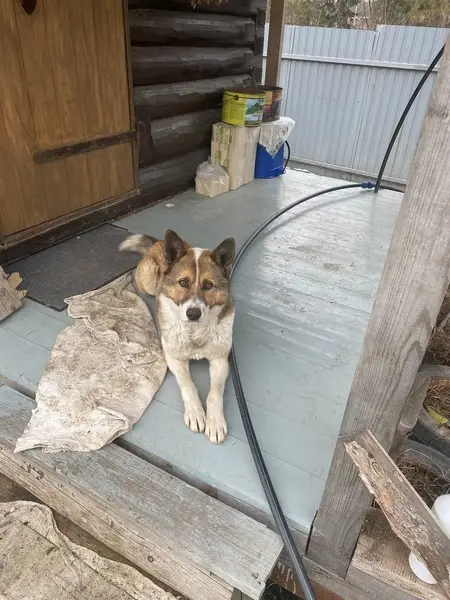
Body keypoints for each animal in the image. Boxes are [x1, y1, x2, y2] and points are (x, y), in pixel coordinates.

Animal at [120, 230, 235, 444]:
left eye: (208, 285)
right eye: (183, 282)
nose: (193, 314)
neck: (194, 332)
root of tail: (158, 242)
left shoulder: (221, 360)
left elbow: (215, 392)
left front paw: (215, 421)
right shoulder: (173, 358)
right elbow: (187, 383)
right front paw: (196, 413)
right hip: (148, 280)